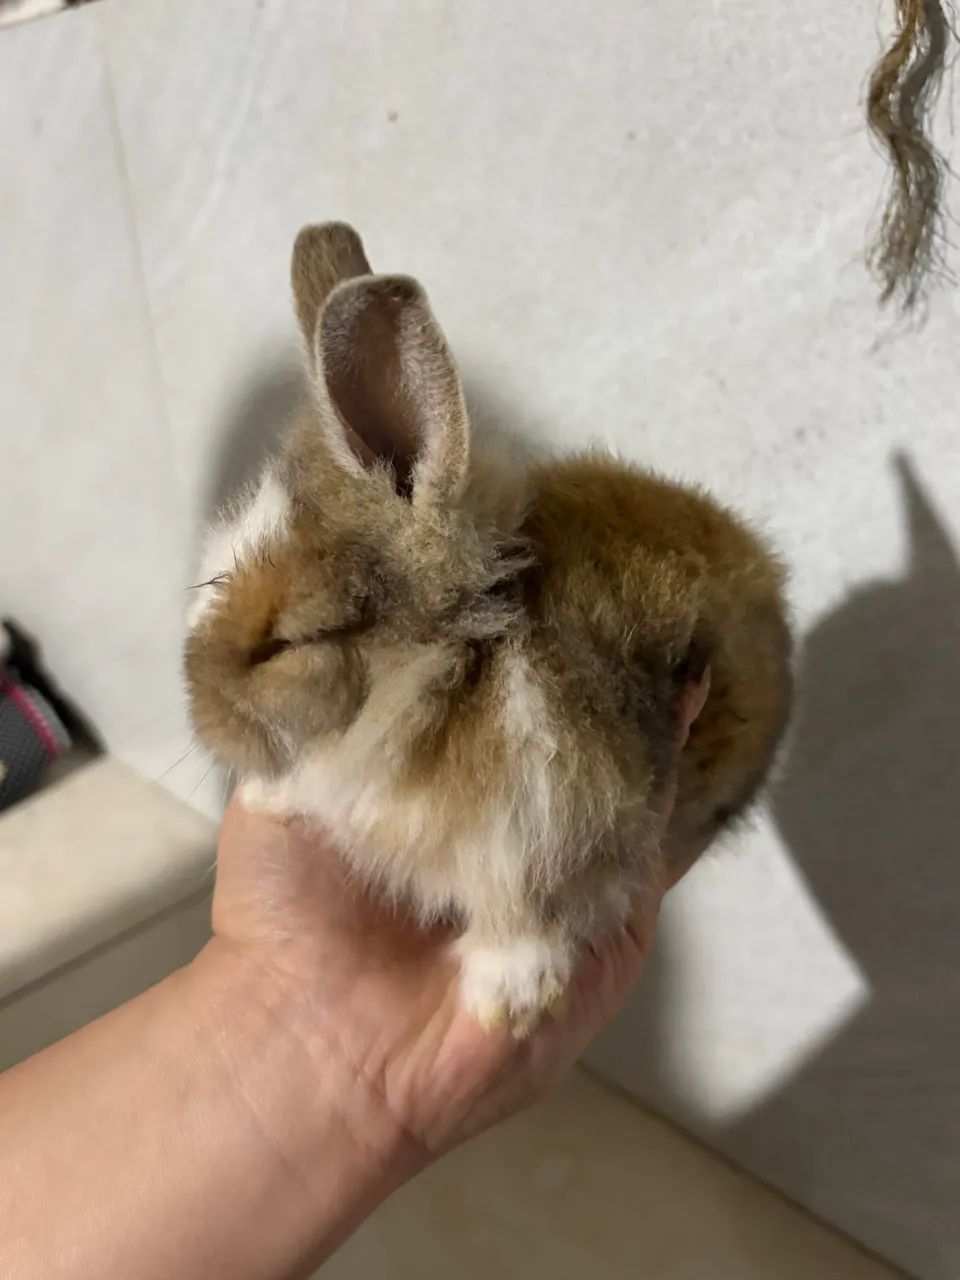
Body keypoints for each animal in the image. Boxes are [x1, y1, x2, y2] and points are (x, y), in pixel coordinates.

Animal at [184, 222, 792, 1036]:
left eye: (290, 643)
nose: (202, 718)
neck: (453, 678)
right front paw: (266, 799)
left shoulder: (553, 825)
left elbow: (527, 913)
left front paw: (506, 1003)